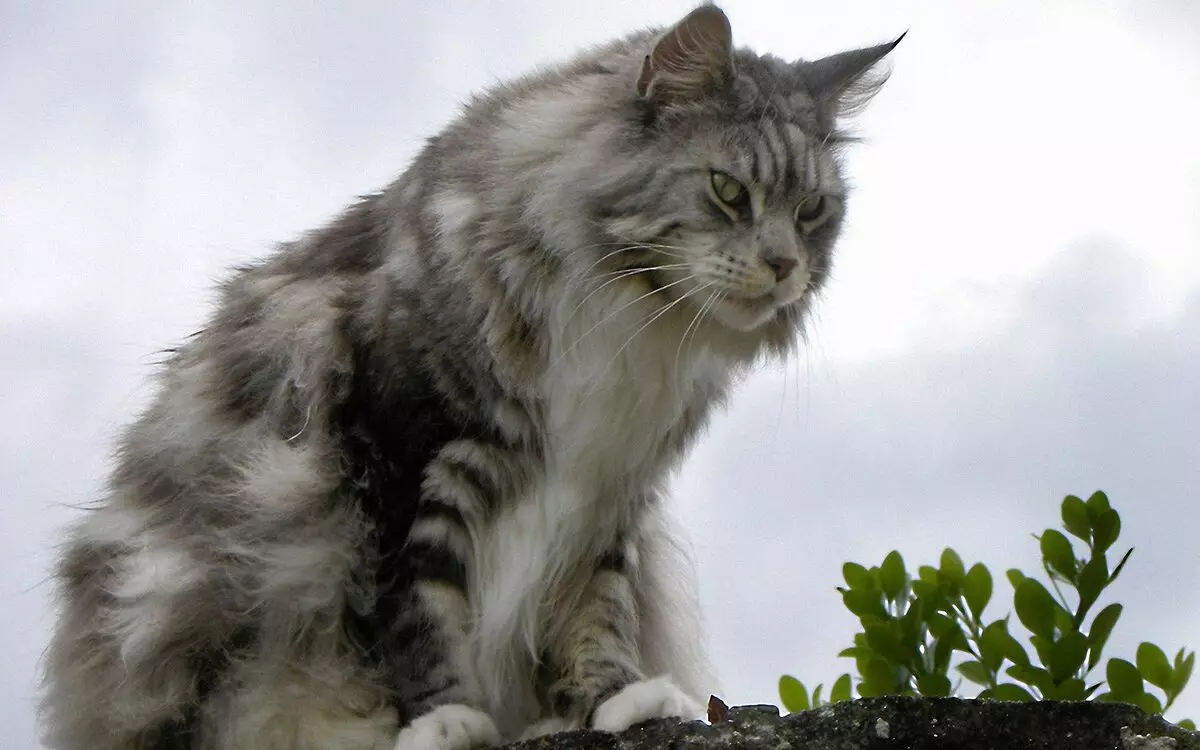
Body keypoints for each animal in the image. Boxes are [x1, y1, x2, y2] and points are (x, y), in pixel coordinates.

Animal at [37, 5, 902, 748]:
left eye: (813, 210)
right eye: (729, 192)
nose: (785, 266)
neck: (633, 319)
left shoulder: (607, 491)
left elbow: (598, 611)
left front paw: (619, 699)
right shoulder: (398, 453)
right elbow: (416, 609)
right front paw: (440, 721)